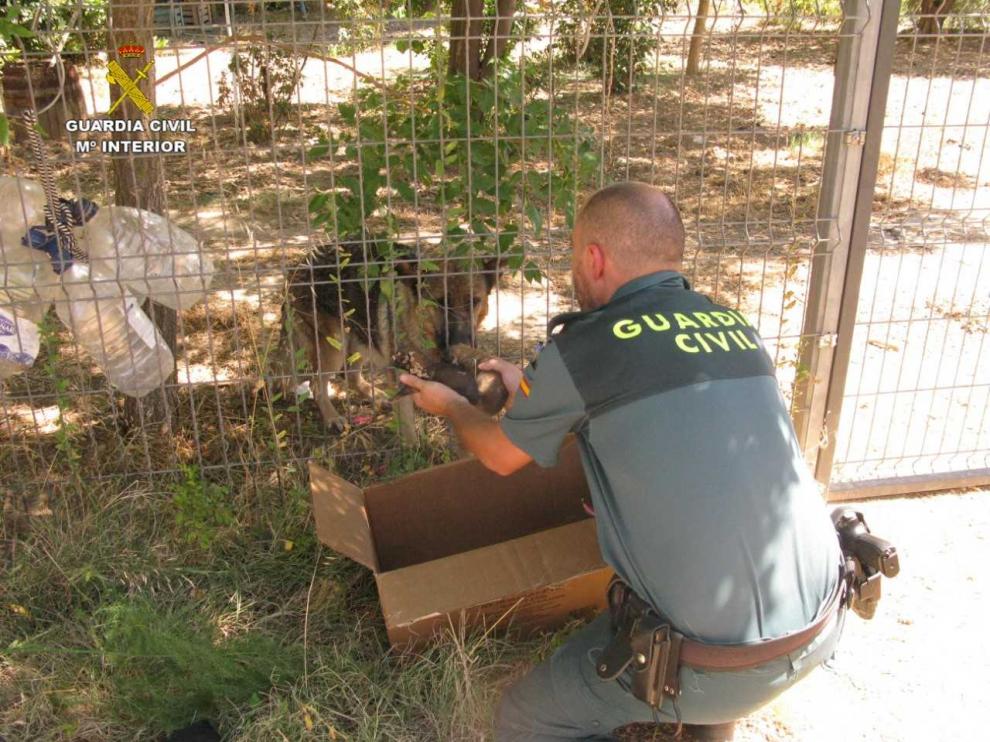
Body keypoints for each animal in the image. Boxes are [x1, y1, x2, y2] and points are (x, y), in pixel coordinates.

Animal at [272, 243, 504, 430]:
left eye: (474, 301)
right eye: (439, 302)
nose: (460, 344)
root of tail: (300, 265)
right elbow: (408, 427)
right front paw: (413, 453)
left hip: (362, 338)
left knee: (350, 375)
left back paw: (374, 395)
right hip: (335, 345)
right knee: (317, 384)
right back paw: (332, 417)